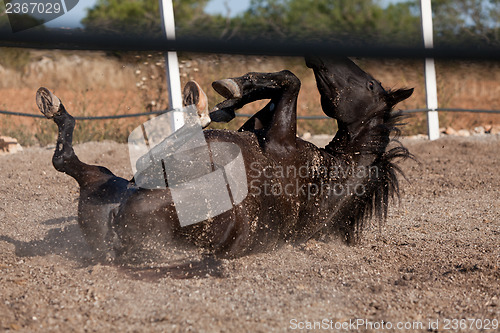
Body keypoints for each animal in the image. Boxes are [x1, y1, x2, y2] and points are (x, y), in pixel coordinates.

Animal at [34, 56, 410, 260]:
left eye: (371, 86)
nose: (319, 55)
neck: (330, 176)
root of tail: (117, 234)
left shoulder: (279, 139)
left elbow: (290, 82)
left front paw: (226, 94)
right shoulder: (262, 128)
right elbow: (269, 95)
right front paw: (233, 94)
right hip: (101, 182)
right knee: (65, 160)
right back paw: (53, 106)